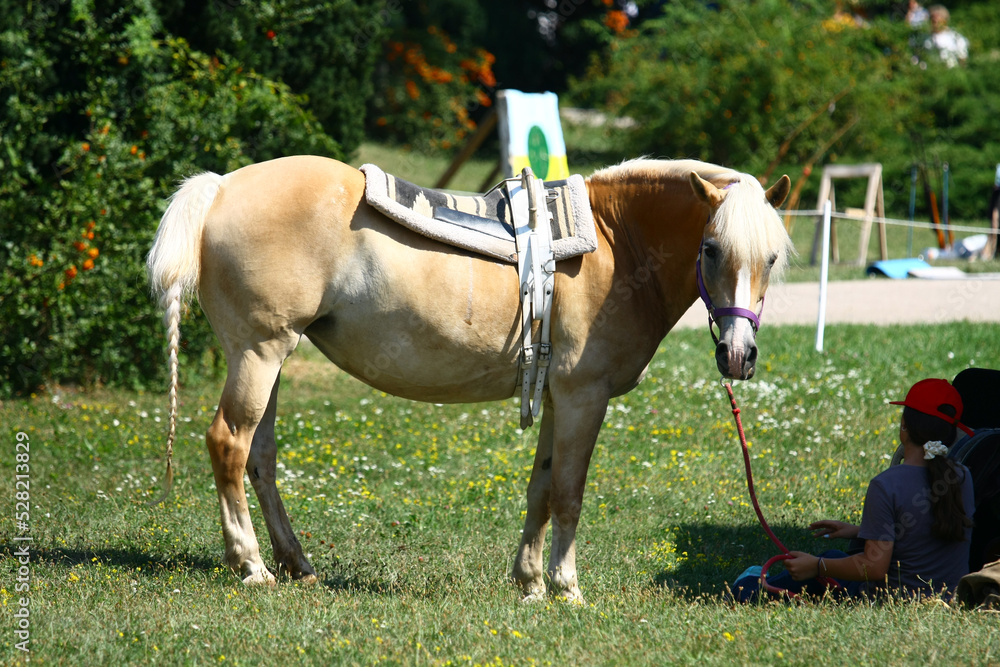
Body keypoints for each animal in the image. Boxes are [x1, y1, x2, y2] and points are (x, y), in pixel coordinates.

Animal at [146, 154, 788, 604]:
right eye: (711, 248)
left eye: (773, 258)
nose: (738, 354)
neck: (612, 242)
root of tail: (222, 185)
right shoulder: (585, 397)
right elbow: (569, 492)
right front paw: (566, 587)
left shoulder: (557, 397)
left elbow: (541, 487)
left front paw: (529, 582)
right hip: (258, 353)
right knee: (229, 444)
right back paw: (251, 566)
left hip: (268, 357)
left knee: (260, 457)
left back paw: (296, 564)